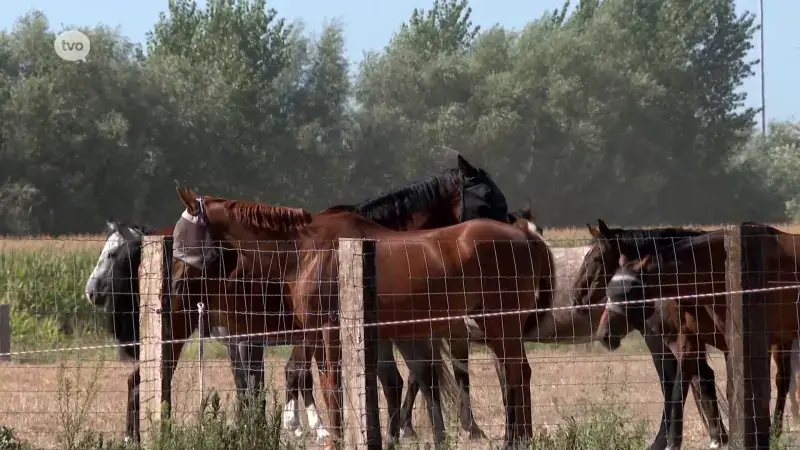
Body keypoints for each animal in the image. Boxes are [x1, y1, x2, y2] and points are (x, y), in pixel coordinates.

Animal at [169, 188, 555, 448]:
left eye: (183, 234)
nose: (174, 283)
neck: (308, 250)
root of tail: (524, 236)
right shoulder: (323, 332)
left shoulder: (328, 329)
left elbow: (333, 384)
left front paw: (335, 436)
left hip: (499, 325)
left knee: (515, 374)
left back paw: (517, 440)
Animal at [596, 223, 800, 449]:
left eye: (629, 293)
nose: (603, 334)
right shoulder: (688, 341)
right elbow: (680, 389)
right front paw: (673, 443)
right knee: (782, 380)